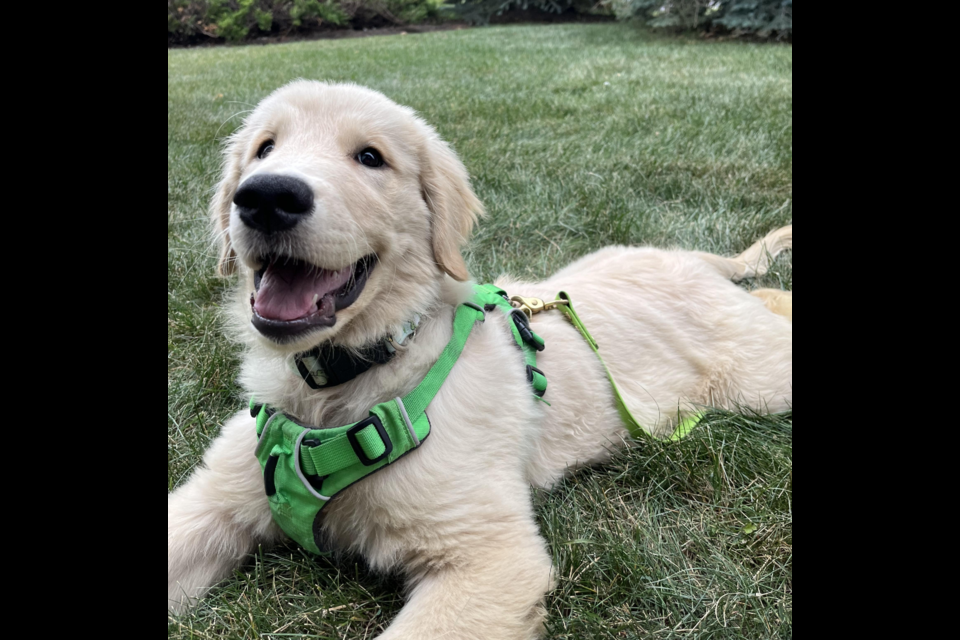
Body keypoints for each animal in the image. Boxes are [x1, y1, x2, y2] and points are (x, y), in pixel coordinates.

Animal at [167, 81, 796, 640]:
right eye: (264, 148)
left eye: (370, 157)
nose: (266, 196)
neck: (343, 384)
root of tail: (692, 262)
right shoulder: (211, 499)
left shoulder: (489, 554)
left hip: (765, 382)